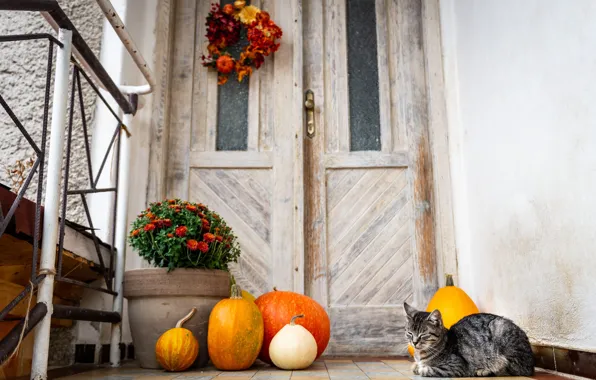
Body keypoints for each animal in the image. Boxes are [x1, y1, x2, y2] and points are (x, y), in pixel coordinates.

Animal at [402, 302, 532, 378]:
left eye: (423, 335)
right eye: (409, 333)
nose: (414, 342)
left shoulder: (456, 365)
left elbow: (427, 370)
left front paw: (421, 368)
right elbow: (415, 366)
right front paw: (416, 366)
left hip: (501, 330)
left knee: (512, 368)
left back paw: (485, 370)